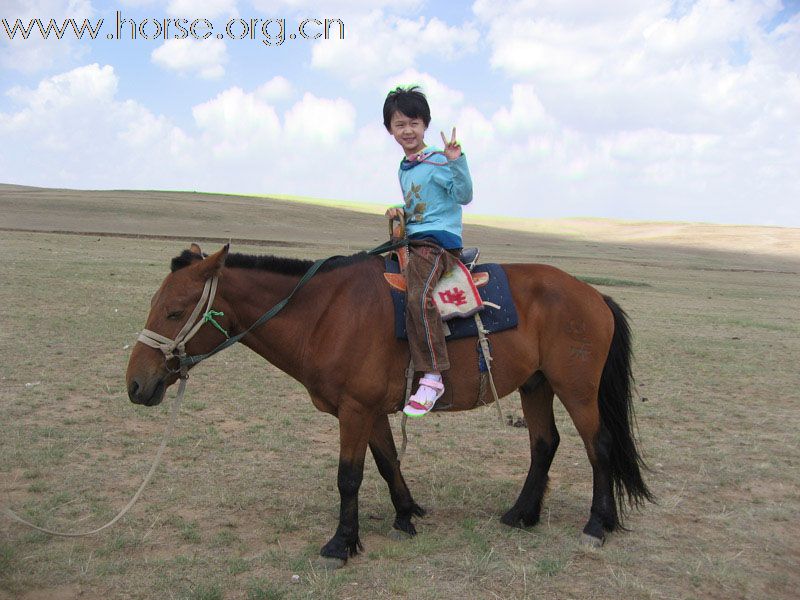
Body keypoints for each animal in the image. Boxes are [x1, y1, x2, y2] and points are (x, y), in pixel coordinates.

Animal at [125, 241, 648, 564]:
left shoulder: (355, 410)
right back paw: (522, 515)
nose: (135, 385)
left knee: (598, 447)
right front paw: (405, 515)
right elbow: (386, 461)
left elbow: (349, 476)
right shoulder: (368, 409)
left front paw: (341, 544)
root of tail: (593, 295)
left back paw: (597, 525)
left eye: (174, 311)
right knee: (544, 444)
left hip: (575, 389)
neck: (324, 315)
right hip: (536, 385)